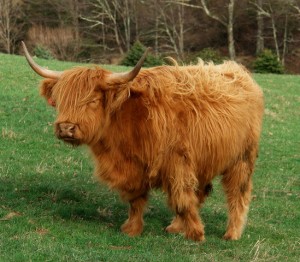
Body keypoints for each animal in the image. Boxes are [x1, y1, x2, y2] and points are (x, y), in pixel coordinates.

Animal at [22, 41, 262, 242]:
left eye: (92, 100)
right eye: (61, 100)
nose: (66, 128)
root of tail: (239, 72)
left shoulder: (178, 162)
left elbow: (182, 199)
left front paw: (196, 234)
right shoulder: (134, 168)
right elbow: (137, 200)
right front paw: (132, 229)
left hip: (242, 158)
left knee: (237, 193)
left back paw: (232, 233)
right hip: (205, 158)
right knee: (202, 191)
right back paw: (175, 227)